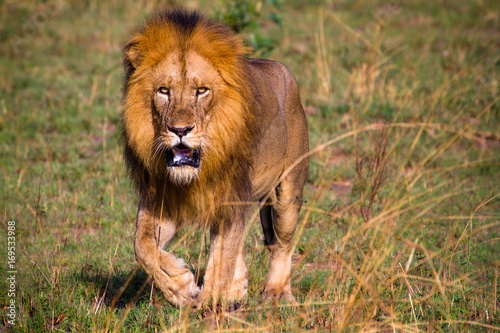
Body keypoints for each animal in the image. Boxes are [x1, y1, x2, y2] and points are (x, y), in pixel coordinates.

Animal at [121, 9, 308, 306]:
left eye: (201, 90)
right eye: (163, 91)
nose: (180, 130)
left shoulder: (232, 195)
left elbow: (221, 260)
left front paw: (208, 304)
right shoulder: (163, 198)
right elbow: (143, 246)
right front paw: (181, 286)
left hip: (288, 190)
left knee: (282, 243)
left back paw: (276, 291)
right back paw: (237, 289)